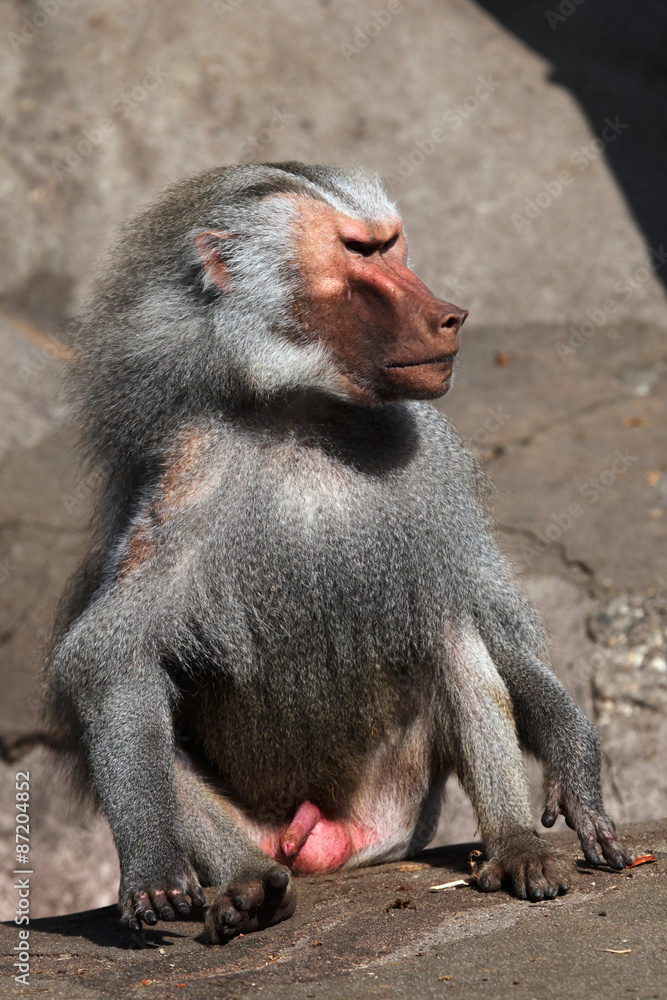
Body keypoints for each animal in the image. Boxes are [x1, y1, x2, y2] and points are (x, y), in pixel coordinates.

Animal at [44, 162, 631, 944]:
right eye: (358, 252)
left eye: (391, 245)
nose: (450, 315)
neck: (306, 417)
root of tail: (320, 838)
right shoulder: (188, 472)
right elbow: (109, 657)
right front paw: (150, 869)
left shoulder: (430, 463)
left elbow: (485, 618)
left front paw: (574, 759)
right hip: (272, 827)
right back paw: (250, 889)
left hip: (398, 804)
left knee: (449, 629)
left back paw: (514, 848)